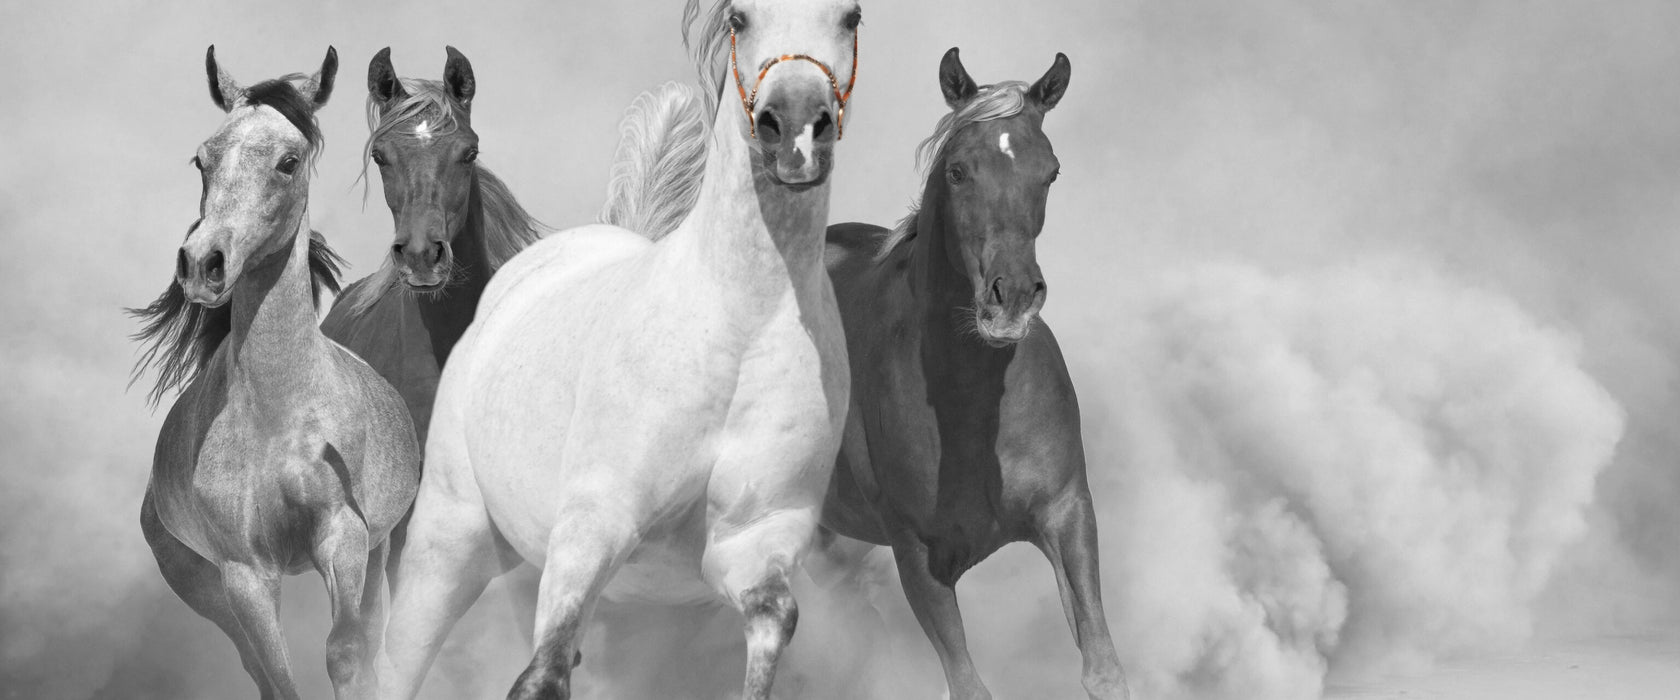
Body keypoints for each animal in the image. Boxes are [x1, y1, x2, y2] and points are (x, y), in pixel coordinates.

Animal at [130, 46, 420, 694]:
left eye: (289, 162)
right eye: (203, 159)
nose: (202, 264)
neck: (279, 418)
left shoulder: (346, 535)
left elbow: (347, 650)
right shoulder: (244, 574)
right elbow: (280, 678)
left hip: (380, 549)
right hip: (199, 584)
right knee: (254, 669)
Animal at [383, 2, 866, 694]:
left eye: (852, 16)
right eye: (739, 18)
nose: (796, 131)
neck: (739, 324)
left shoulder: (750, 543)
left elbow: (773, 621)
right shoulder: (595, 523)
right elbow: (543, 674)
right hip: (449, 543)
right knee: (395, 659)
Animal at [816, 46, 1128, 694]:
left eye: (1050, 172)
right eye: (958, 171)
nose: (1012, 298)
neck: (974, 409)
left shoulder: (1067, 514)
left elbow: (1103, 669)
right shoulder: (920, 562)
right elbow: (968, 684)